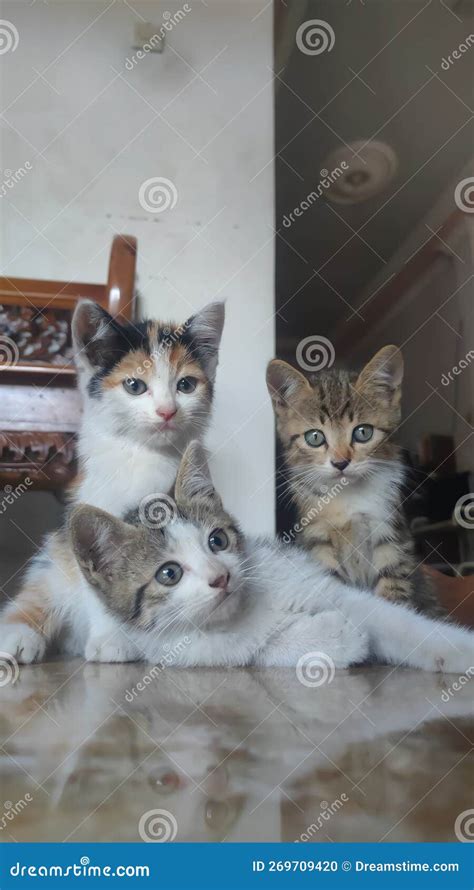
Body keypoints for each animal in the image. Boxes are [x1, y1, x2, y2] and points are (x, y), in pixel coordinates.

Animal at [1, 440, 472, 668]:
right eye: (168, 574)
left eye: (217, 541)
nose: (221, 577)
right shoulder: (189, 649)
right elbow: (259, 649)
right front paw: (336, 637)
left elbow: (399, 624)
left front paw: (457, 651)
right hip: (58, 573)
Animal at [266, 344, 440, 612]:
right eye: (314, 437)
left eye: (363, 432)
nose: (341, 463)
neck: (346, 496)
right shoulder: (317, 539)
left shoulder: (390, 532)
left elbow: (394, 585)